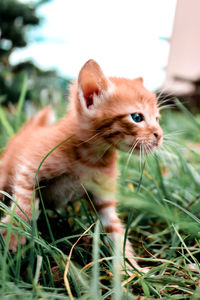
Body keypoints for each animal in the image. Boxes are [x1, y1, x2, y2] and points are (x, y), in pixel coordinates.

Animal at [0, 59, 162, 270]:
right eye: (137, 117)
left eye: (157, 119)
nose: (159, 135)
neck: (90, 156)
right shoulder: (30, 168)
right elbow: (24, 202)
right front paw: (14, 232)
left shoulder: (103, 198)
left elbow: (115, 230)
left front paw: (130, 269)